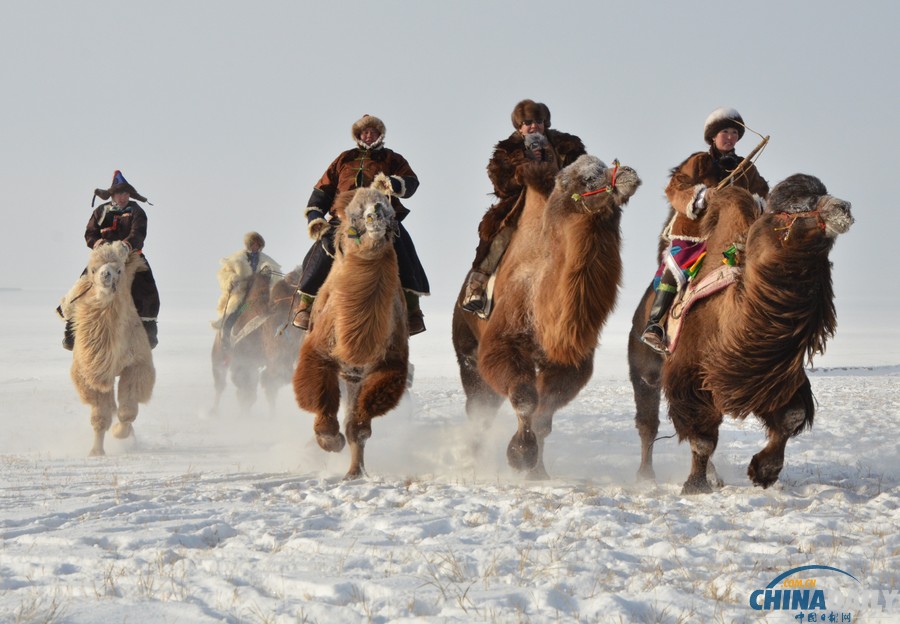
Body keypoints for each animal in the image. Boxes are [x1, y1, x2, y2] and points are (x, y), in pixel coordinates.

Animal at [63, 241, 156, 456]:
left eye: (118, 270)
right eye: (93, 269)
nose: (105, 275)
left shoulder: (137, 365)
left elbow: (128, 410)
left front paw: (119, 433)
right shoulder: (91, 374)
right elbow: (100, 416)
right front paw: (96, 452)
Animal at [292, 176, 408, 478]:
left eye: (390, 211)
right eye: (353, 213)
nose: (375, 212)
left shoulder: (389, 364)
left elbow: (360, 425)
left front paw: (355, 470)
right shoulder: (318, 353)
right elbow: (318, 395)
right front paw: (330, 440)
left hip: (354, 377)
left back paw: (355, 469)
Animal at [450, 156, 640, 478]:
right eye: (588, 178)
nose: (629, 173)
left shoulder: (570, 362)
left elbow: (543, 415)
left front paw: (538, 471)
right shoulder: (501, 345)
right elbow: (526, 399)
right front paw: (520, 455)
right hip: (467, 351)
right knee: (479, 408)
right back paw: (473, 462)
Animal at [628, 174, 856, 492]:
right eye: (793, 207)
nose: (842, 207)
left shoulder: (769, 375)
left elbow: (792, 415)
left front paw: (764, 472)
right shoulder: (690, 374)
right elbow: (702, 437)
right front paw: (695, 485)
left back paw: (715, 476)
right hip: (644, 366)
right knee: (648, 421)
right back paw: (646, 475)